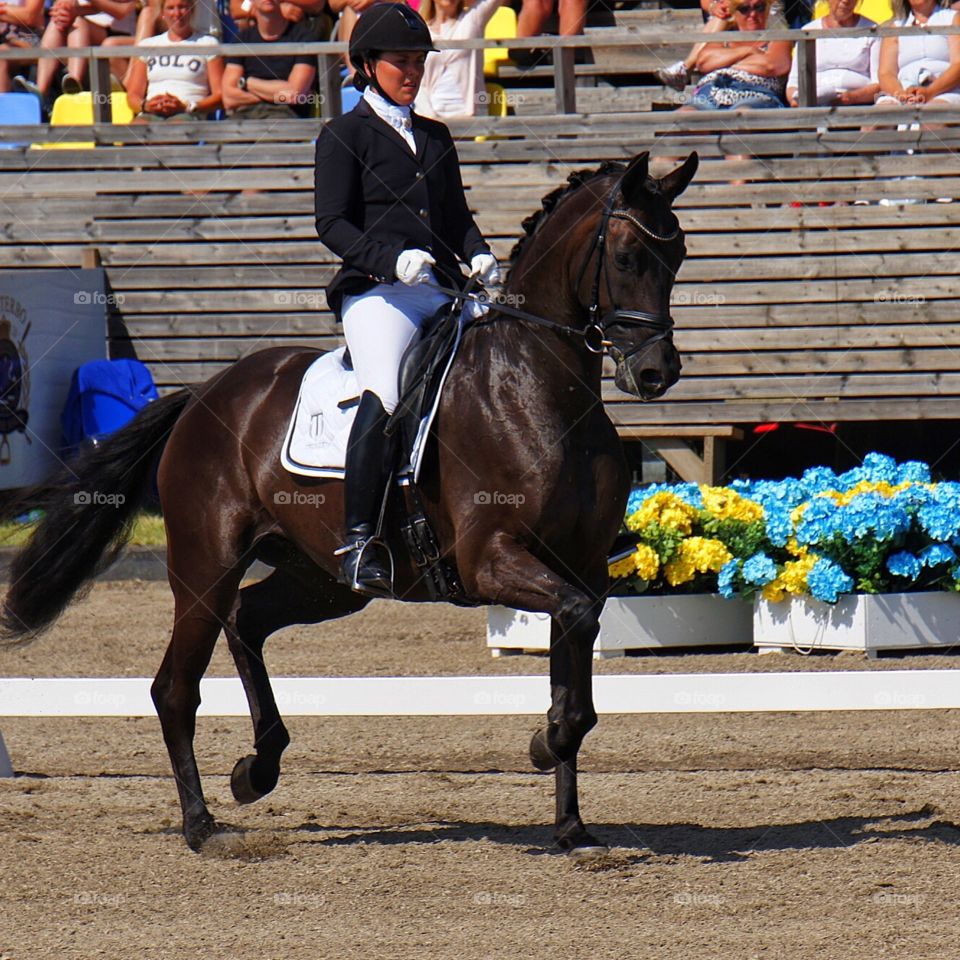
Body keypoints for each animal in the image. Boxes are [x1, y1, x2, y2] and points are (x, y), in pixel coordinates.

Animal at [0, 150, 699, 856]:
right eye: (627, 258)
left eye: (678, 258)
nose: (655, 373)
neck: (537, 385)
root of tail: (204, 393)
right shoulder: (491, 561)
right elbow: (572, 661)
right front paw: (540, 745)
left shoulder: (580, 569)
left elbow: (574, 677)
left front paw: (572, 827)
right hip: (206, 565)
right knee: (175, 687)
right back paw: (203, 827)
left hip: (324, 579)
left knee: (247, 620)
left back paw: (258, 768)